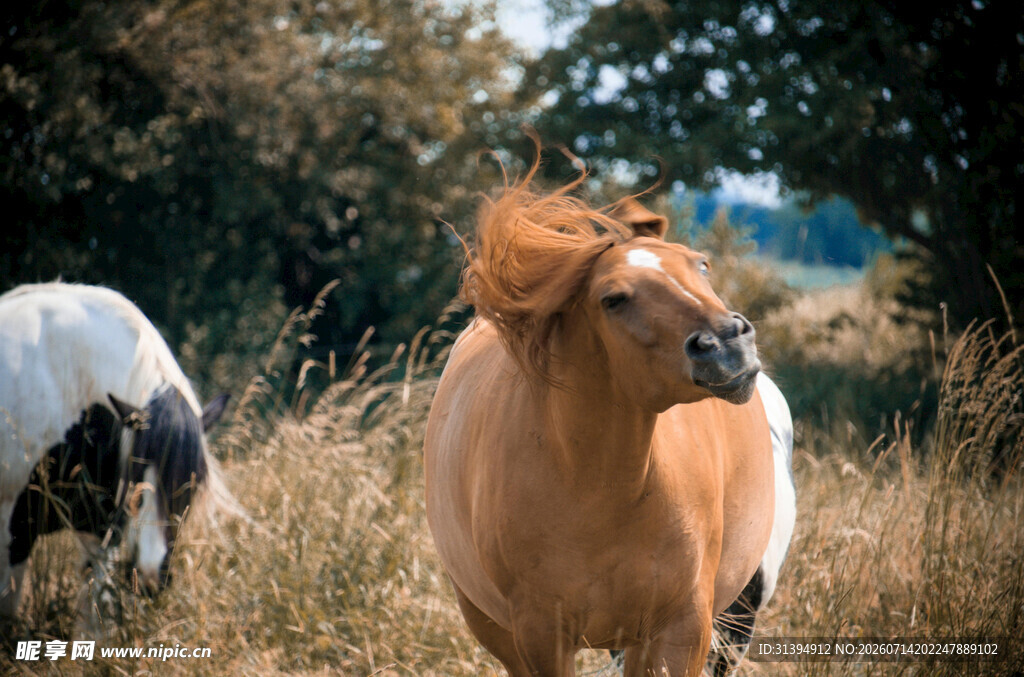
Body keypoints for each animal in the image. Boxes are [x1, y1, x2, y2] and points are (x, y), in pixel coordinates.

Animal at [424, 174, 796, 676]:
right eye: (613, 299)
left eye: (700, 264)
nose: (726, 344)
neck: (605, 488)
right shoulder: (541, 635)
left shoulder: (683, 628)